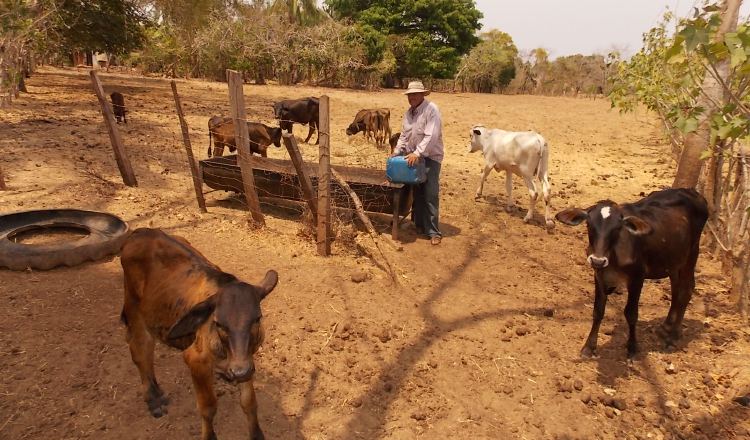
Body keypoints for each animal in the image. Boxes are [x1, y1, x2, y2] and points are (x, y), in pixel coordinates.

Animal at [121, 229, 280, 438]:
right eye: (218, 323)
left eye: (257, 318)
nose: (239, 371)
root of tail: (140, 231)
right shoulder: (196, 360)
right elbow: (208, 408)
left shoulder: (247, 360)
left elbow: (249, 402)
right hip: (134, 308)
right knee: (140, 349)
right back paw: (154, 399)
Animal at [560, 188, 712, 358]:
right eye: (589, 225)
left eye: (617, 228)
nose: (598, 260)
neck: (614, 256)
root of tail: (693, 192)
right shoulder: (599, 276)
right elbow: (598, 311)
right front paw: (589, 347)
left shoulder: (637, 278)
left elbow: (631, 313)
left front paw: (632, 348)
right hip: (673, 261)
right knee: (676, 289)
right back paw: (666, 326)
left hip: (691, 254)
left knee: (686, 290)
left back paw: (673, 337)